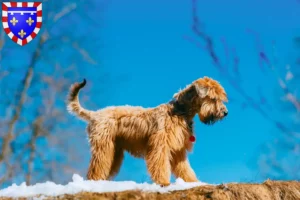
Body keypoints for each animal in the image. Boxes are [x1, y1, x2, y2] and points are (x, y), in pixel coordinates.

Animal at [67, 76, 227, 186]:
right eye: (213, 98)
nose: (225, 113)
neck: (180, 111)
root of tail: (94, 114)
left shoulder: (178, 150)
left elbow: (184, 168)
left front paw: (192, 182)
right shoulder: (160, 146)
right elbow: (160, 165)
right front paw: (164, 182)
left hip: (114, 151)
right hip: (103, 148)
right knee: (96, 168)